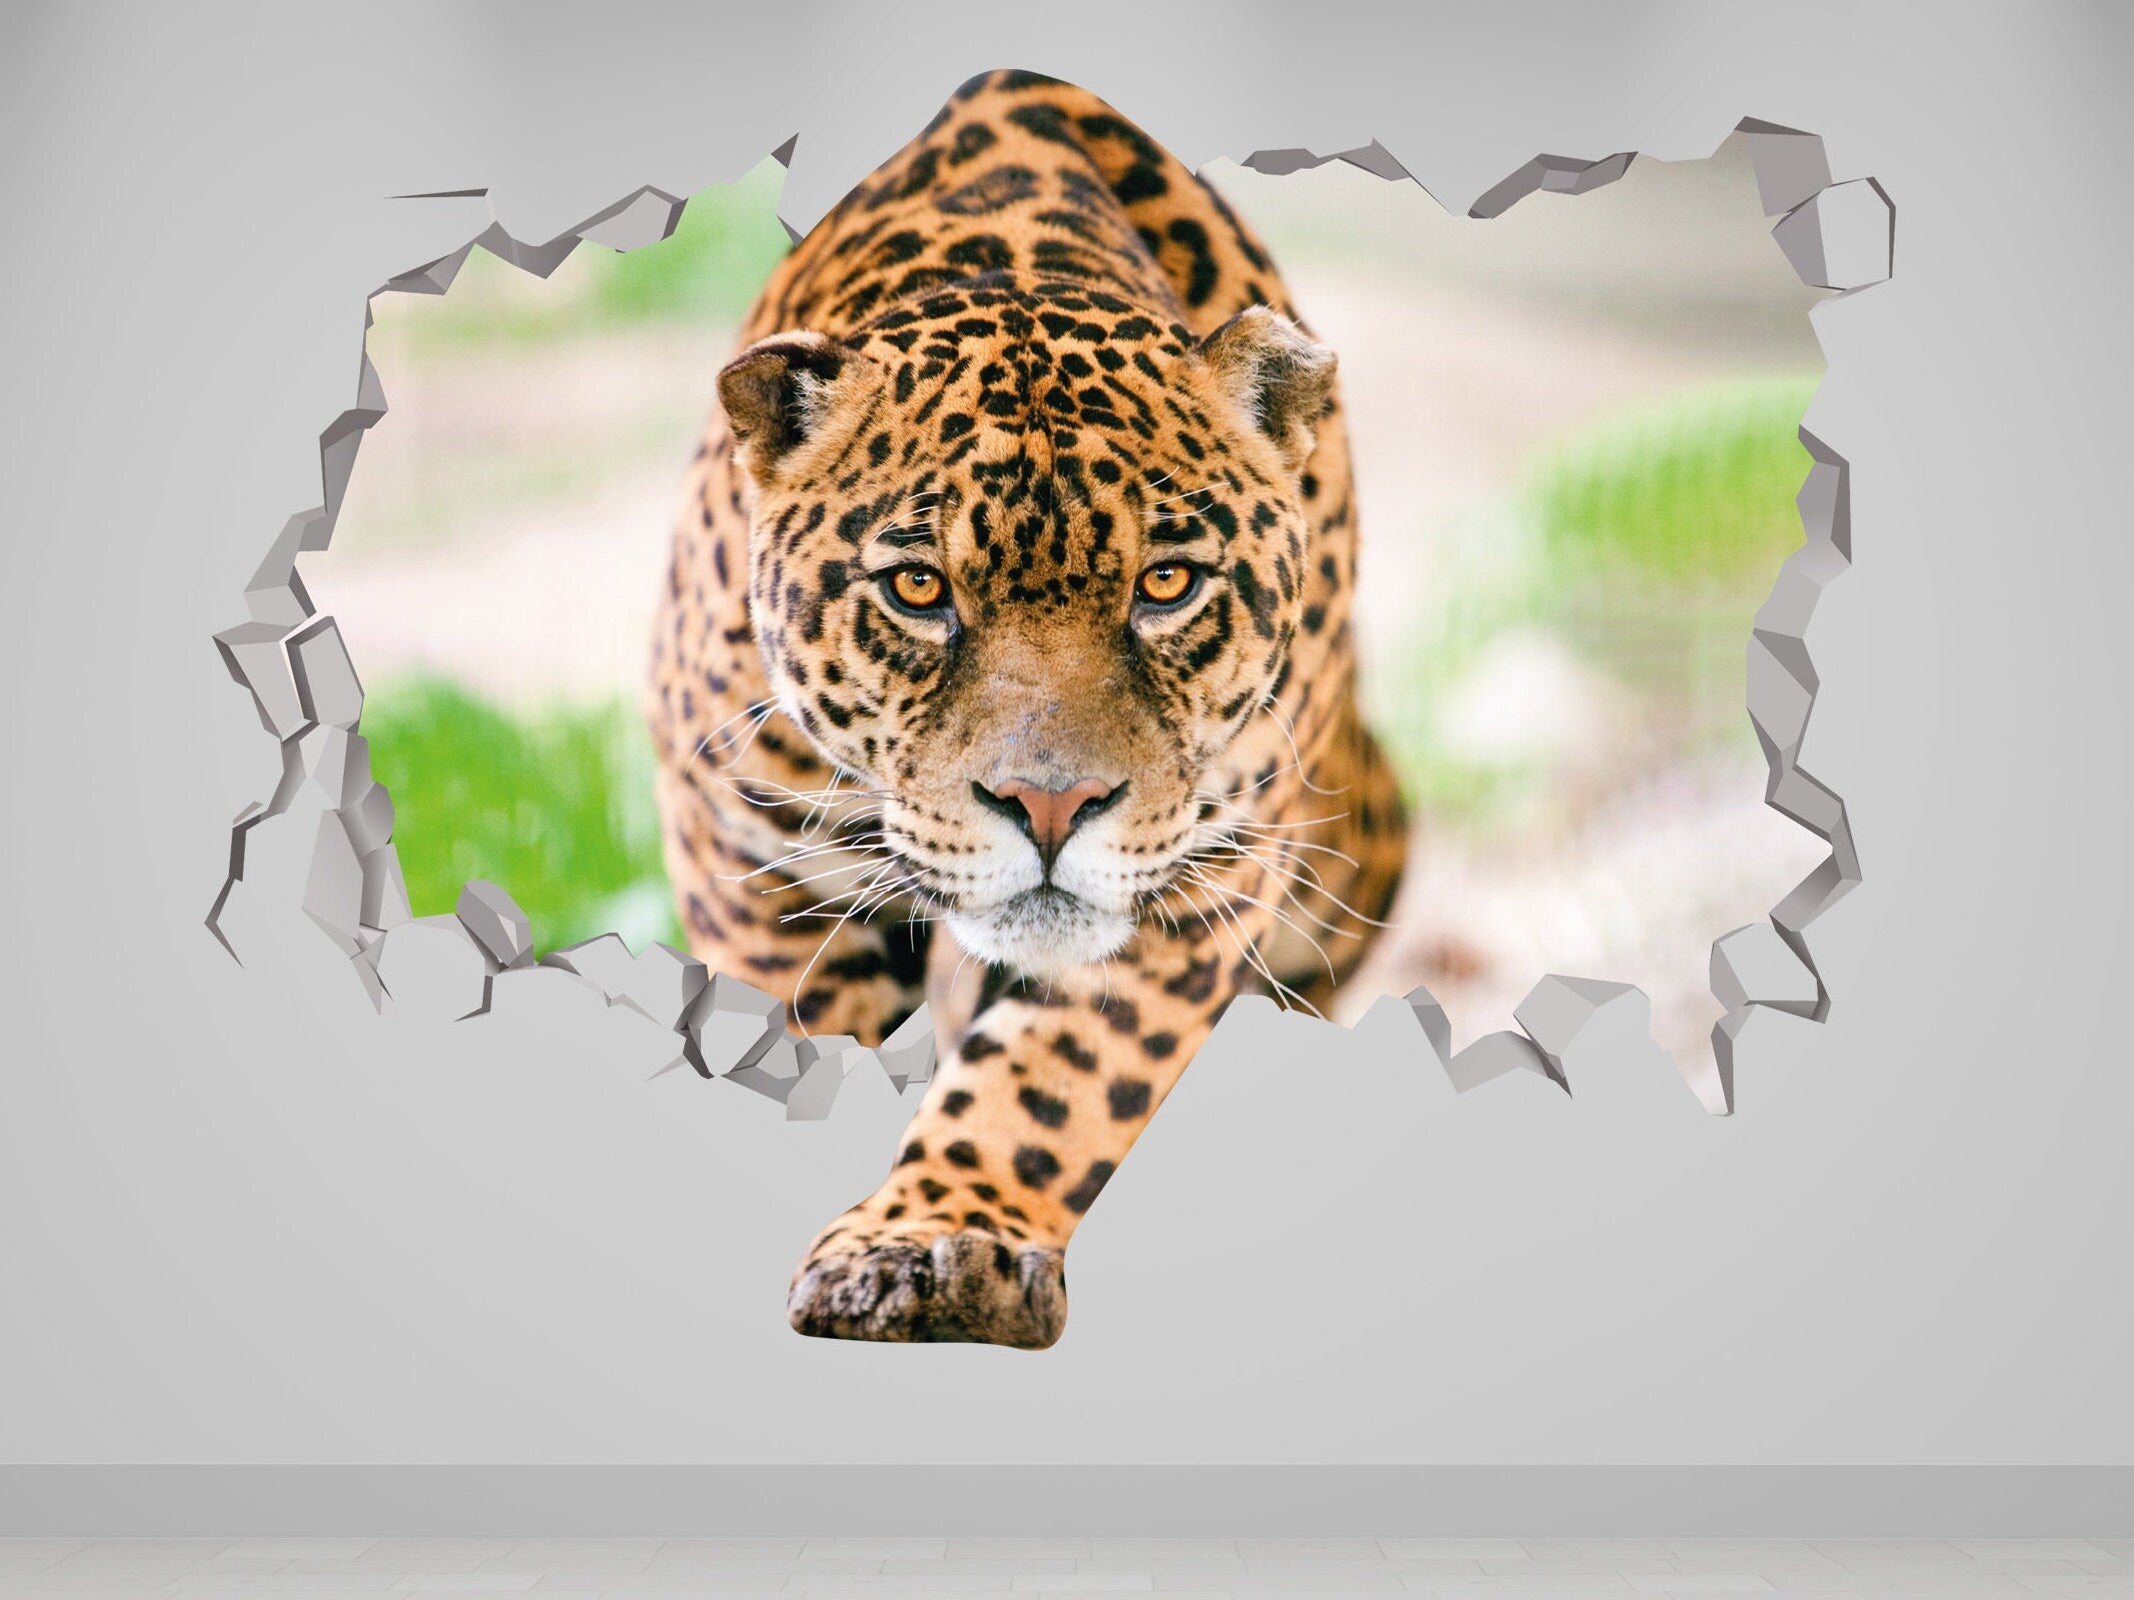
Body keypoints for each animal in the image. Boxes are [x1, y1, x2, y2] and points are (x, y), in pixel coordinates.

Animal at [649, 68, 1407, 1349]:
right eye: (918, 589)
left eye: (1167, 584)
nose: (1050, 808)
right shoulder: (746, 846)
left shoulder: (1205, 871)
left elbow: (1054, 1082)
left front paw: (940, 1241)